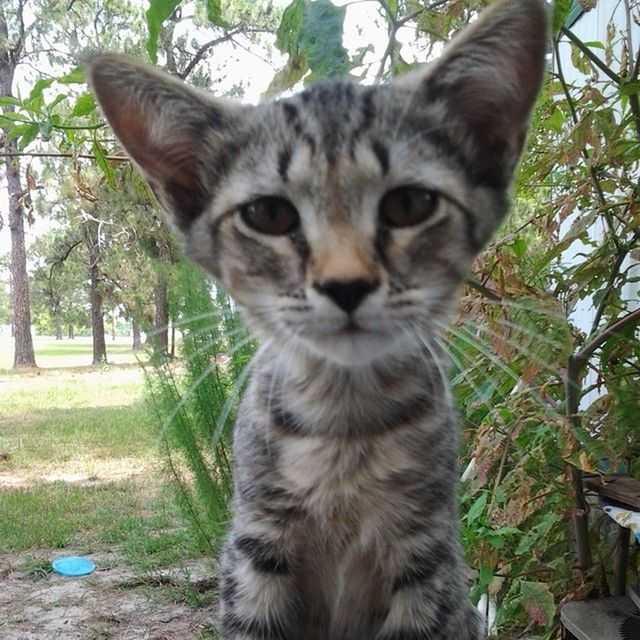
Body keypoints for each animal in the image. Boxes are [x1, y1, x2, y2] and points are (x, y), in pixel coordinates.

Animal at [89, 2, 552, 636]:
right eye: (268, 214)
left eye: (410, 204)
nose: (345, 283)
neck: (343, 426)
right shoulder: (253, 553)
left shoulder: (428, 557)